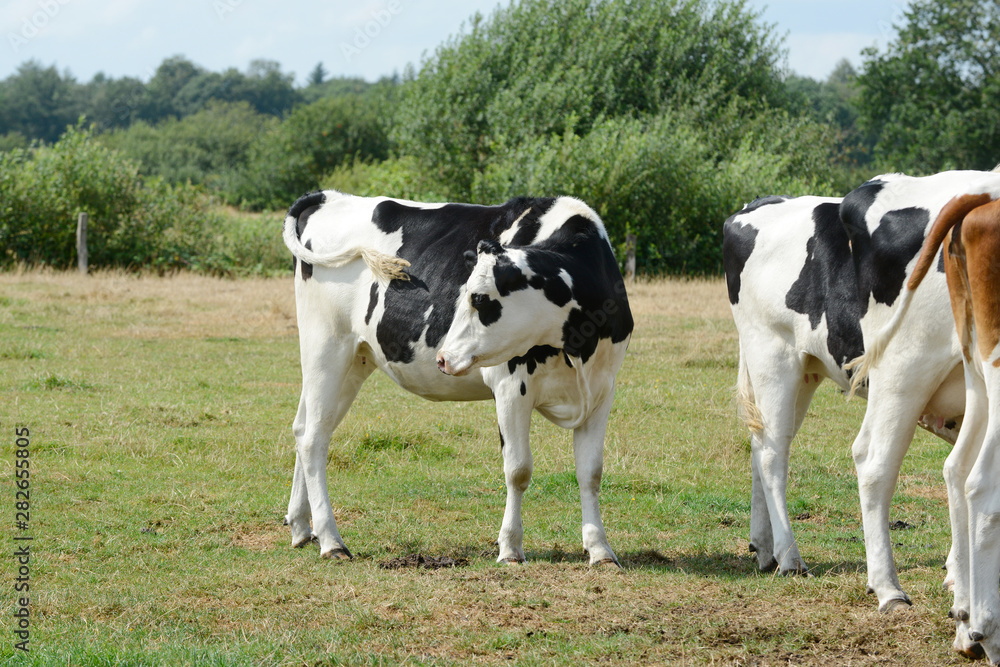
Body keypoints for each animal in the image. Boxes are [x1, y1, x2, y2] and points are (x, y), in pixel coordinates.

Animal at [280, 189, 633, 566]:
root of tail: (331, 196)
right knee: (313, 439)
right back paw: (331, 539)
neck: (578, 344)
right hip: (325, 346)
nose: (443, 358)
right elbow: (518, 469)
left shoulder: (602, 390)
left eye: (478, 298)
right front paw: (510, 547)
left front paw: (600, 548)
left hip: (354, 360)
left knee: (304, 427)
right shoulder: (511, 387)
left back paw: (302, 527)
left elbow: (590, 472)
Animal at [724, 169, 1000, 613]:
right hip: (798, 357)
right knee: (800, 456)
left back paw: (764, 549)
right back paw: (840, 573)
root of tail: (756, 206)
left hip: (808, 368)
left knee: (760, 443)